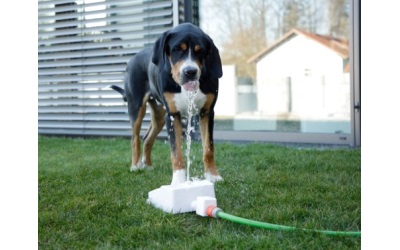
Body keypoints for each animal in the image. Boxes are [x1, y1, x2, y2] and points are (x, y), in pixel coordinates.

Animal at [111, 23, 223, 186]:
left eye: (200, 51)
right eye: (177, 49)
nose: (190, 72)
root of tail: (133, 58)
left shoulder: (207, 112)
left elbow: (208, 148)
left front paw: (212, 175)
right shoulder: (173, 115)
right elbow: (176, 152)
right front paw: (179, 181)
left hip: (159, 115)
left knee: (147, 138)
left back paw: (148, 165)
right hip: (136, 107)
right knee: (135, 138)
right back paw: (136, 165)